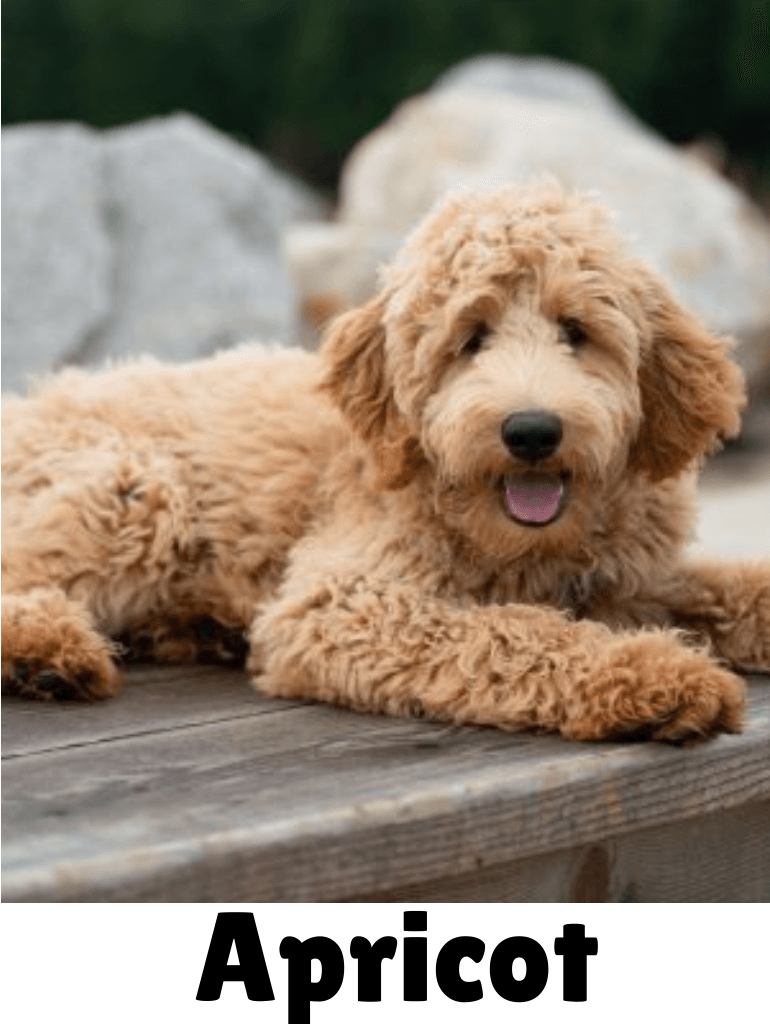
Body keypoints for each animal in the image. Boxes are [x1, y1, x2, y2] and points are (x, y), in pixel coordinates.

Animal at [3, 184, 765, 741]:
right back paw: (44, 652)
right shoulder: (341, 600)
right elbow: (502, 632)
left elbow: (728, 587)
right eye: (471, 338)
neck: (530, 547)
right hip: (134, 489)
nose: (531, 432)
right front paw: (654, 672)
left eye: (576, 331)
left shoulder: (634, 580)